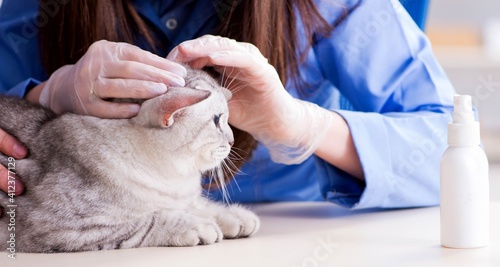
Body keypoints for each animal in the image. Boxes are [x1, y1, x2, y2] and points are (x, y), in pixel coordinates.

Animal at [0, 67, 260, 253]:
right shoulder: (66, 227)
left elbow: (201, 206)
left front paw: (233, 216)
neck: (173, 180)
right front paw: (196, 225)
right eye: (217, 120)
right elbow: (149, 221)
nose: (232, 140)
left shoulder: (185, 198)